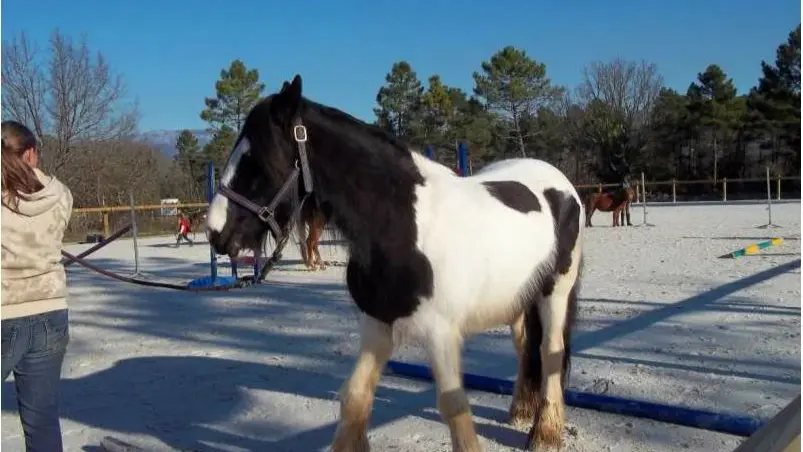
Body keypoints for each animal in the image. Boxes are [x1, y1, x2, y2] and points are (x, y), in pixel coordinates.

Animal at [206, 76, 584, 450]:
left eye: (257, 162)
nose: (215, 232)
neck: (398, 223)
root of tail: (562, 183)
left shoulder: (441, 333)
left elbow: (454, 407)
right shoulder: (378, 325)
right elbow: (354, 397)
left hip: (556, 292)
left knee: (550, 352)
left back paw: (545, 433)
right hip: (517, 299)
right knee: (525, 346)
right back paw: (521, 410)